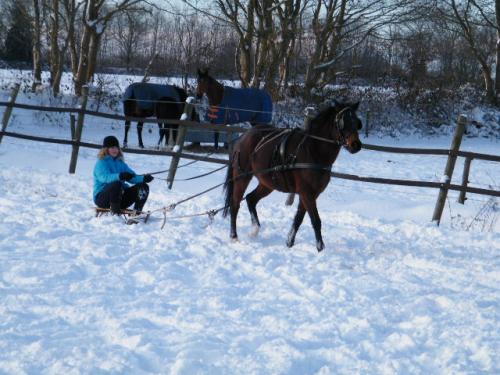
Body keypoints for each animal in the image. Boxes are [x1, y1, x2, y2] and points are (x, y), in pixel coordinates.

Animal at [225, 101, 362, 251]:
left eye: (357, 122)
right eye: (343, 122)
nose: (356, 145)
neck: (312, 150)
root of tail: (243, 137)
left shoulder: (311, 194)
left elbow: (298, 219)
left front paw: (289, 242)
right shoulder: (306, 193)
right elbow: (316, 220)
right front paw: (320, 248)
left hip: (267, 183)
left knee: (250, 199)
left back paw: (255, 229)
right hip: (242, 176)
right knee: (235, 203)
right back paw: (234, 237)